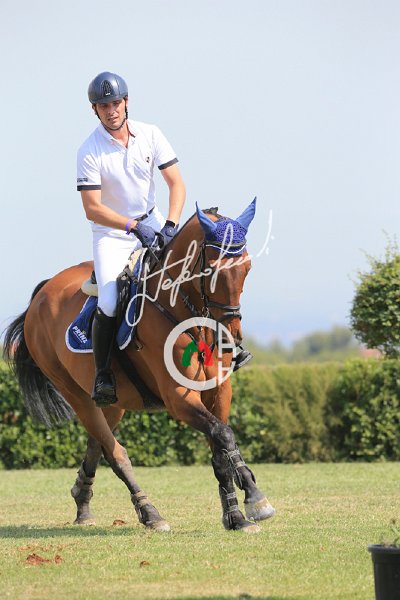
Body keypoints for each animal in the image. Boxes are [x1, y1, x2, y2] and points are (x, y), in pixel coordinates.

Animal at [4, 199, 275, 533]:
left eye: (246, 268)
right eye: (211, 270)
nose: (230, 337)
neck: (184, 311)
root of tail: (41, 294)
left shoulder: (219, 391)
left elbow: (221, 445)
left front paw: (239, 510)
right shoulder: (179, 399)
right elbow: (222, 435)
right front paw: (250, 501)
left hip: (113, 402)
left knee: (97, 443)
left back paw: (82, 502)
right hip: (76, 395)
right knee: (114, 452)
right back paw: (150, 513)